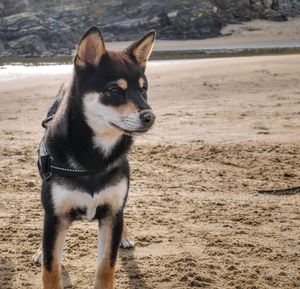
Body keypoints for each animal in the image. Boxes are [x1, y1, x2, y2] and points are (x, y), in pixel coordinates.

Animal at [33, 27, 155, 288]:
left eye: (143, 90)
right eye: (115, 90)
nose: (150, 116)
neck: (94, 157)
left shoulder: (111, 213)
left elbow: (106, 267)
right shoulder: (55, 217)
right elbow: (50, 269)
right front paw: (45, 257)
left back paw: (125, 236)